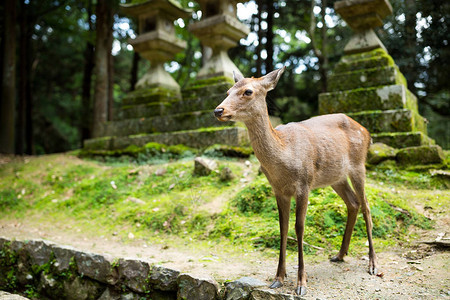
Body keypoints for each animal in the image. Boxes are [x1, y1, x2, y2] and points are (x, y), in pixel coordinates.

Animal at [214, 66, 380, 296]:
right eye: (228, 90)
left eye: (248, 91)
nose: (218, 110)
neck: (284, 156)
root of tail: (367, 132)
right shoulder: (278, 190)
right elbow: (282, 227)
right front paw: (278, 278)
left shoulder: (304, 184)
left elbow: (299, 227)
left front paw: (301, 283)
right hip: (336, 177)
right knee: (353, 203)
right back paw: (339, 254)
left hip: (358, 165)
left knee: (367, 207)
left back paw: (373, 264)